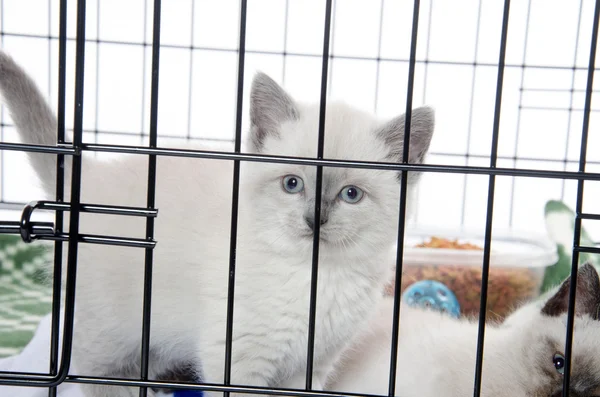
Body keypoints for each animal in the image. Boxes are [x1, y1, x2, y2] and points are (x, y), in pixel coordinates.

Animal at [0, 51, 434, 396]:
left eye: (351, 195)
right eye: (292, 184)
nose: (315, 218)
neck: (317, 278)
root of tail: (88, 177)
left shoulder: (308, 370)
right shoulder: (238, 362)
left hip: (155, 339)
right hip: (114, 329)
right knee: (92, 372)